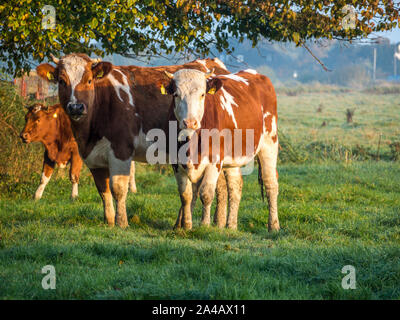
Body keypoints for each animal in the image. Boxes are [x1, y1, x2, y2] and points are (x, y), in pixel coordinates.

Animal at [161, 69, 280, 231]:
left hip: (269, 143)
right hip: (233, 157)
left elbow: (206, 193)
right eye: (176, 95)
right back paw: (231, 225)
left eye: (202, 94)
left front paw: (204, 224)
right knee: (235, 186)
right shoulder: (176, 162)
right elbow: (186, 195)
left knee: (270, 183)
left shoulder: (214, 160)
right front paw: (186, 225)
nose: (190, 122)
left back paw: (273, 225)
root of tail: (255, 74)